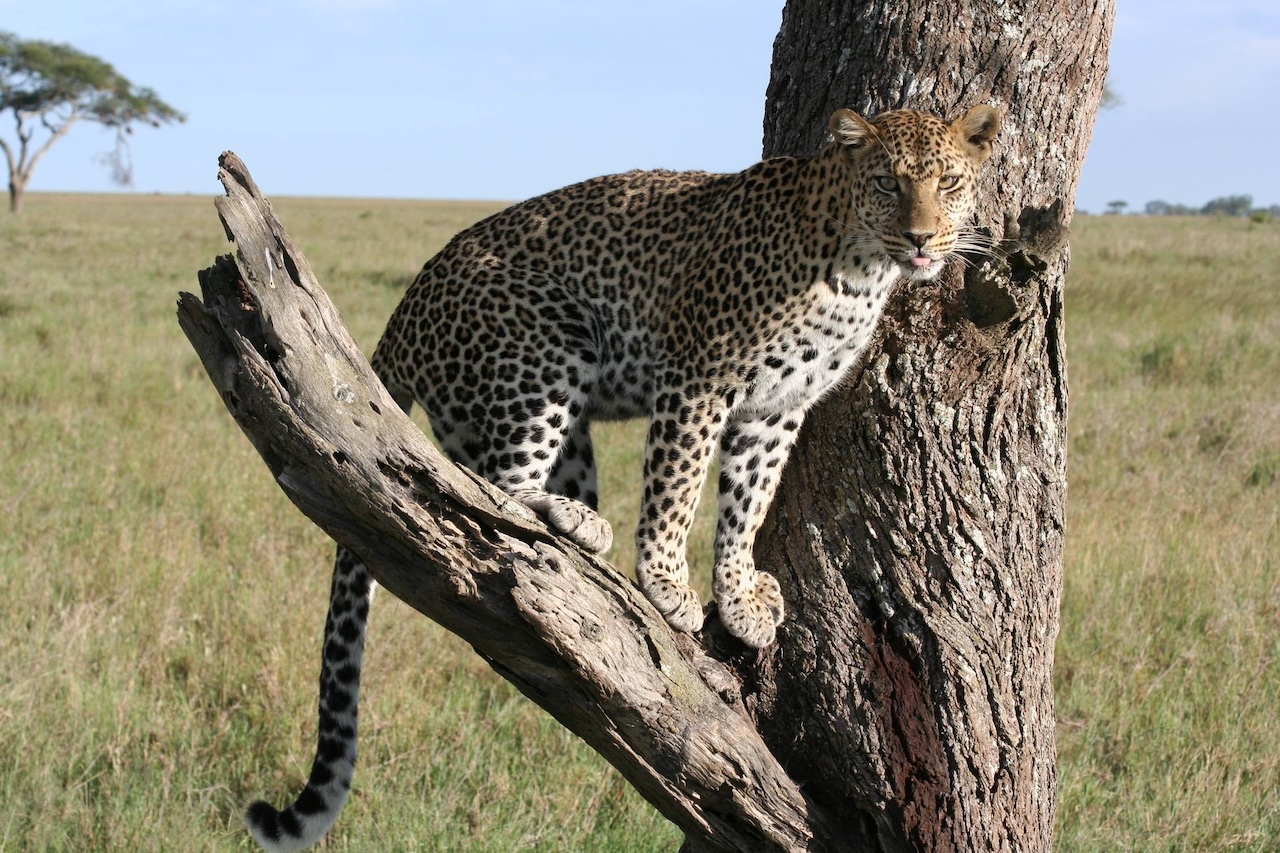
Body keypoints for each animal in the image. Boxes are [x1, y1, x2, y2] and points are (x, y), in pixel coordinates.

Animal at [244, 103, 1000, 852]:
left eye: (949, 182)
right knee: (484, 488)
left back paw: (584, 536)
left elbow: (749, 502)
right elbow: (679, 488)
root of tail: (407, 304)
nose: (923, 236)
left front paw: (739, 597)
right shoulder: (699, 378)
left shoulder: (777, 407)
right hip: (545, 346)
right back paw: (571, 523)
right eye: (887, 182)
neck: (860, 269)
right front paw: (668, 585)